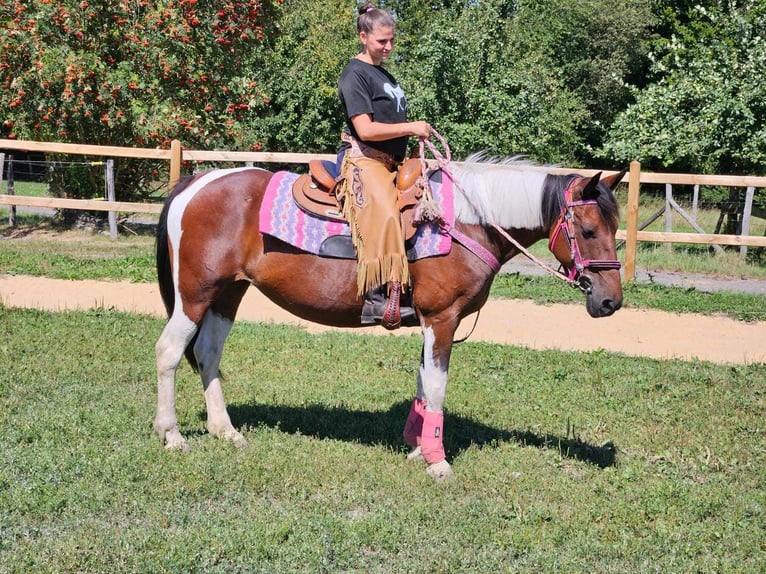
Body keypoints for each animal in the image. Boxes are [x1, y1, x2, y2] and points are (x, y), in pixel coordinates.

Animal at [153, 155, 628, 484]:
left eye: (616, 231)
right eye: (588, 231)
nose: (610, 302)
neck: (466, 223)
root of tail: (196, 182)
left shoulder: (431, 322)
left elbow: (423, 383)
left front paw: (418, 447)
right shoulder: (442, 319)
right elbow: (437, 386)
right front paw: (437, 462)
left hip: (227, 293)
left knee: (208, 354)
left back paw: (225, 431)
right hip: (195, 295)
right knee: (170, 351)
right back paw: (172, 435)